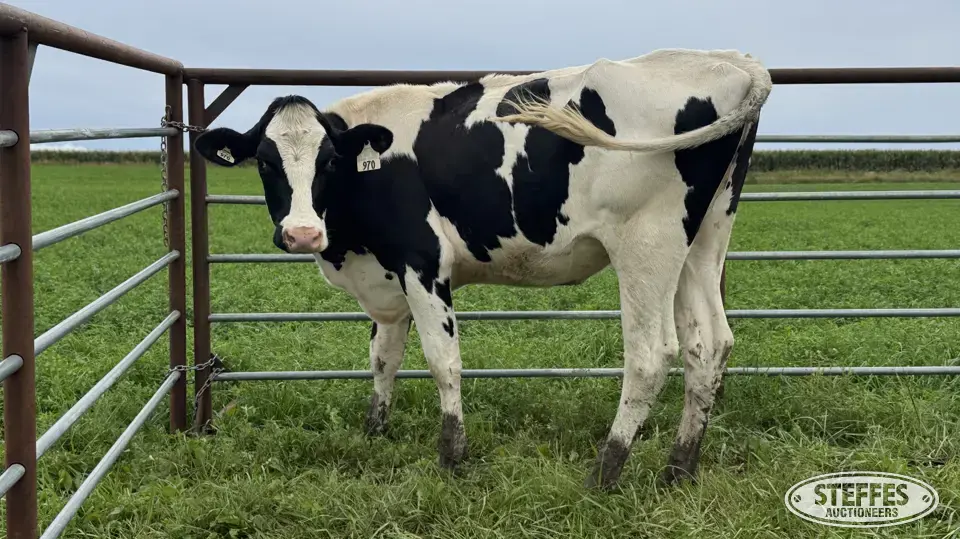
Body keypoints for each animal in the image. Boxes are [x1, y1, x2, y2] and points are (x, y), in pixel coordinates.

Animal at [193, 48, 773, 490]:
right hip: (702, 242)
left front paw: (452, 455)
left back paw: (605, 473)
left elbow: (442, 360)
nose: (302, 233)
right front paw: (375, 430)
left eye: (329, 161)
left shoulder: (422, 263)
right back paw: (680, 468)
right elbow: (383, 358)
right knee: (708, 345)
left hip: (646, 243)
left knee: (651, 356)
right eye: (266, 161)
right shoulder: (388, 279)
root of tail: (728, 60)